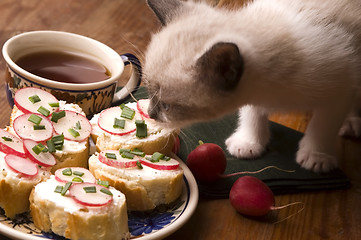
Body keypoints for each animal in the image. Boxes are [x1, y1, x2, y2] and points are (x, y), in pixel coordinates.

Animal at [143, 0, 360, 172]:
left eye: (167, 106)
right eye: (150, 92)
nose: (150, 113)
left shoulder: (339, 89)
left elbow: (323, 126)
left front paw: (316, 155)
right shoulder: (252, 95)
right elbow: (252, 113)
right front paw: (248, 143)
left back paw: (352, 123)